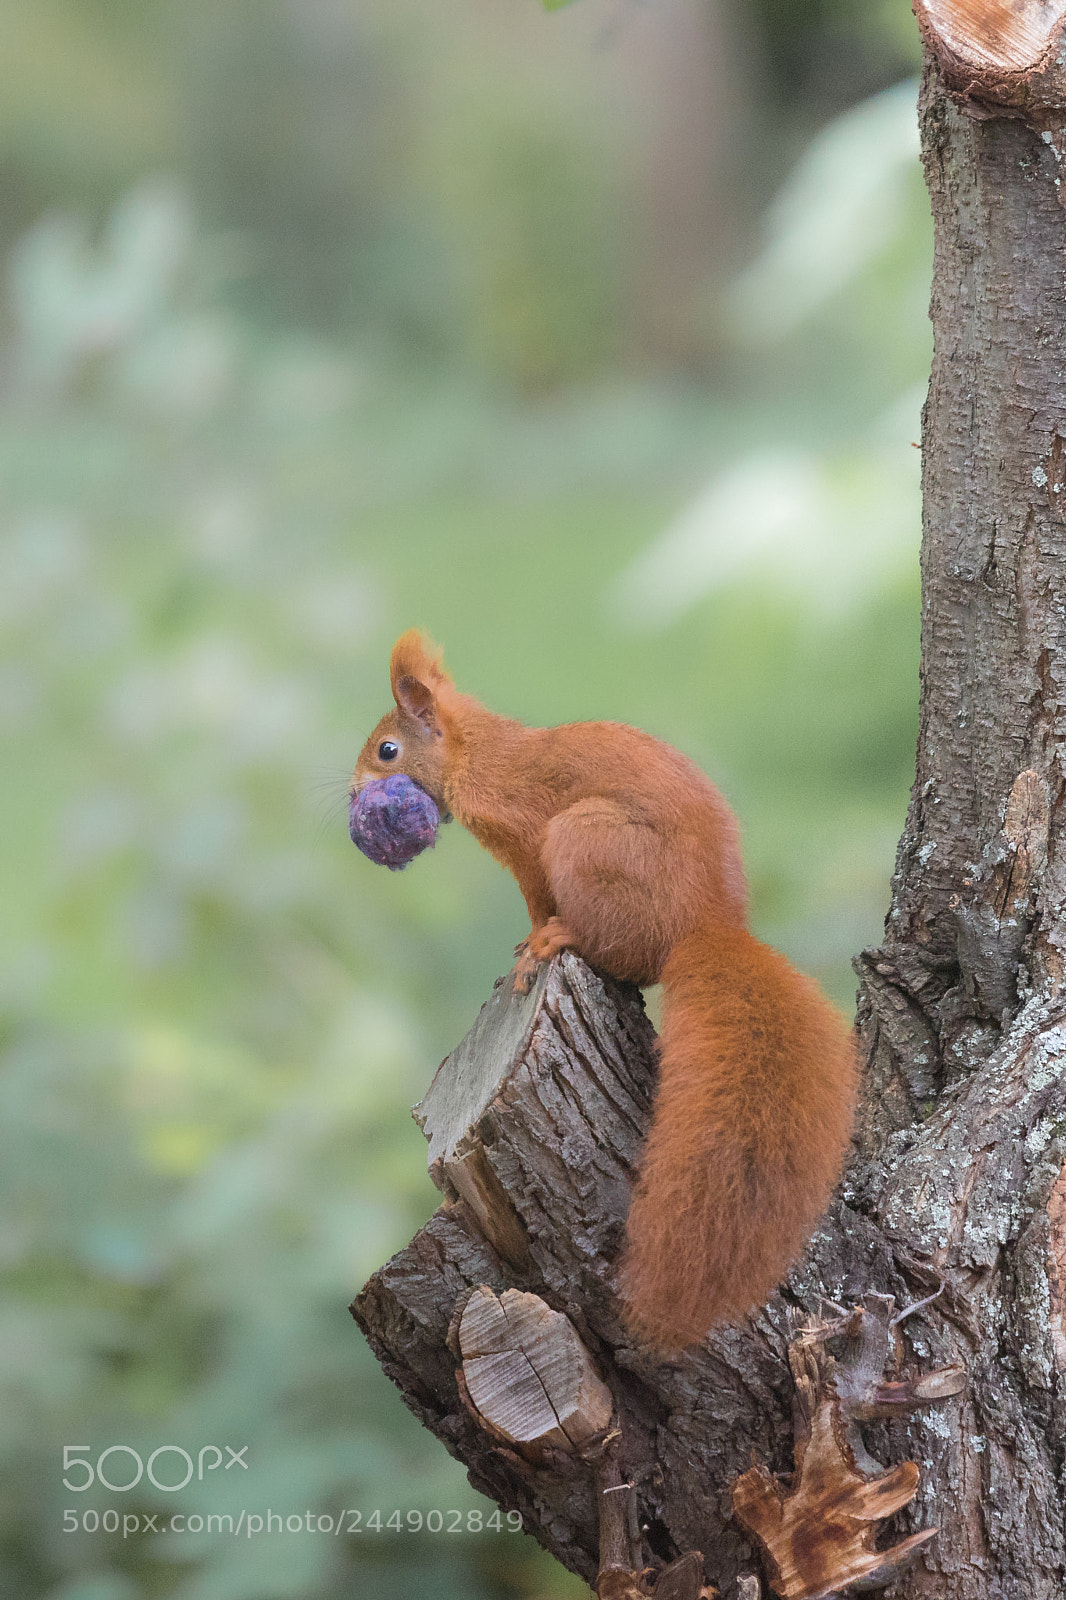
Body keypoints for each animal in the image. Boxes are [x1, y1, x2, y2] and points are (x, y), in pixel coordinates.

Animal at [351, 630, 858, 1352]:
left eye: (387, 750)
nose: (353, 792)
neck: (480, 752)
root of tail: (703, 926)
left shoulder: (526, 836)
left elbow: (535, 899)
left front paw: (533, 944)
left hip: (585, 837)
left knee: (617, 949)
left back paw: (565, 938)